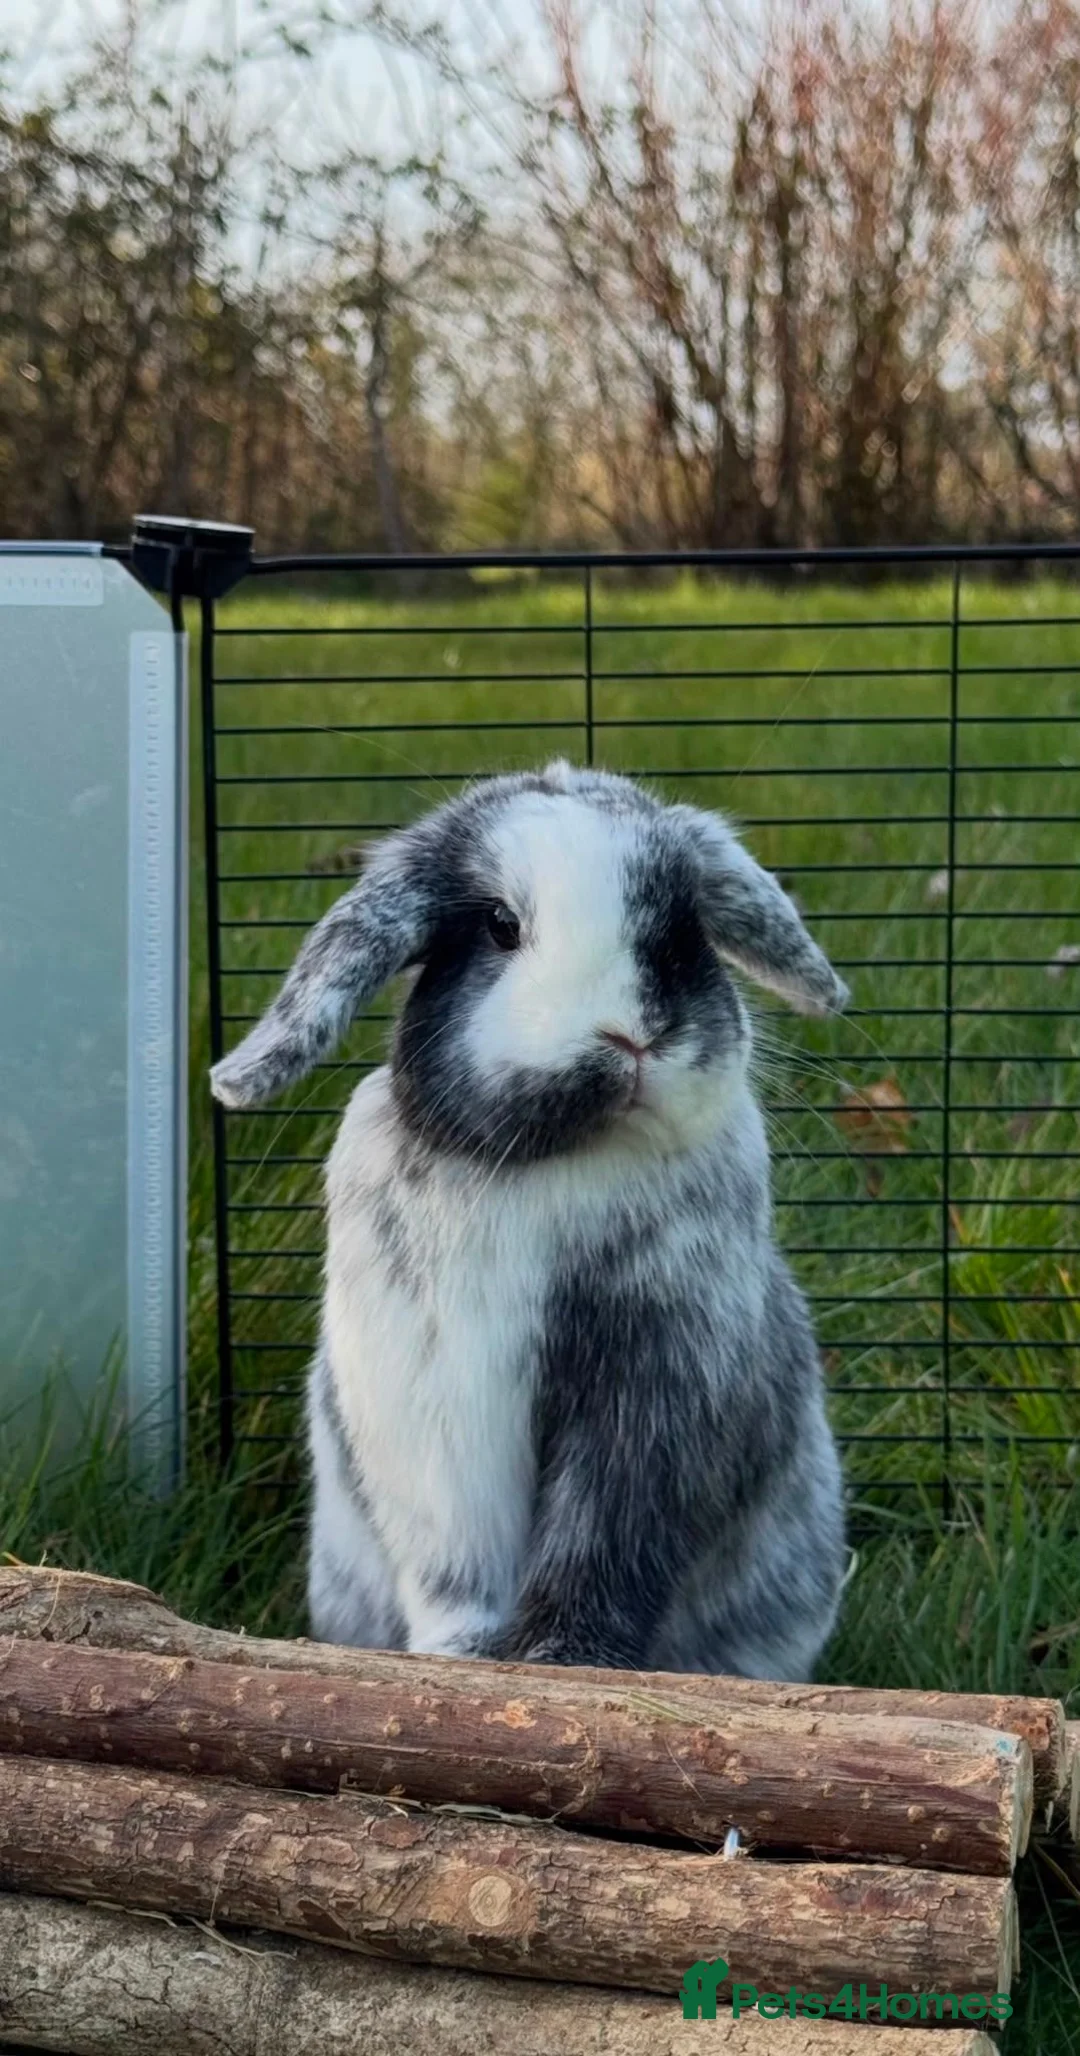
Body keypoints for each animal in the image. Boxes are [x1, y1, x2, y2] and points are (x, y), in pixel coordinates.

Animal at [211, 759, 849, 1679]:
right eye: (501, 927)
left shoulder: (658, 1385)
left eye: (681, 922)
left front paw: (568, 1662)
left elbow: (604, 1540)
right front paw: (473, 1659)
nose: (632, 1038)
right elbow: (459, 1564)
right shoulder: (438, 1397)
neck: (556, 1165)